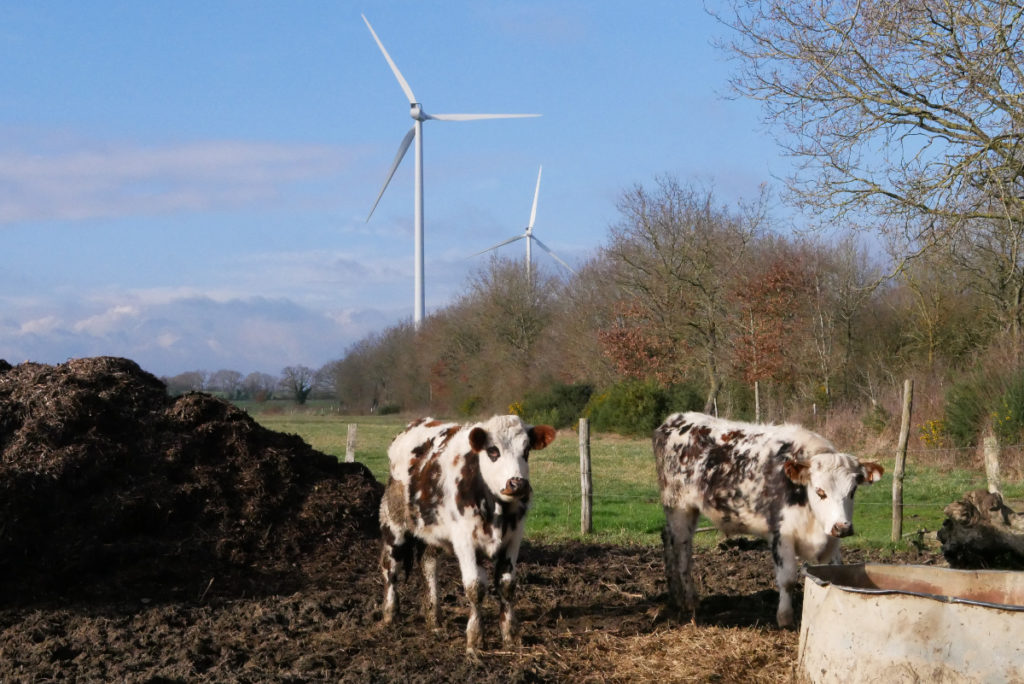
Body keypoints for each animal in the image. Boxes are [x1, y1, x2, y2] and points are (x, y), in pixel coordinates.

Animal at [378, 413, 557, 655]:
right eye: (493, 451)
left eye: (526, 450)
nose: (517, 484)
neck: (495, 509)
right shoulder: (465, 542)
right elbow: (475, 588)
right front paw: (475, 639)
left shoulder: (513, 539)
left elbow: (507, 584)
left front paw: (510, 635)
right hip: (394, 525)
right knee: (390, 569)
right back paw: (390, 614)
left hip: (434, 532)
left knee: (428, 565)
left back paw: (434, 618)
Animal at [655, 409, 880, 626]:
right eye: (820, 491)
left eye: (852, 491)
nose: (842, 527)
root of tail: (674, 420)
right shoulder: (781, 534)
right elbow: (787, 579)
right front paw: (785, 618)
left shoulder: (831, 541)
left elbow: (833, 572)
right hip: (679, 507)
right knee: (682, 549)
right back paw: (689, 600)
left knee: (668, 538)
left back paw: (675, 596)